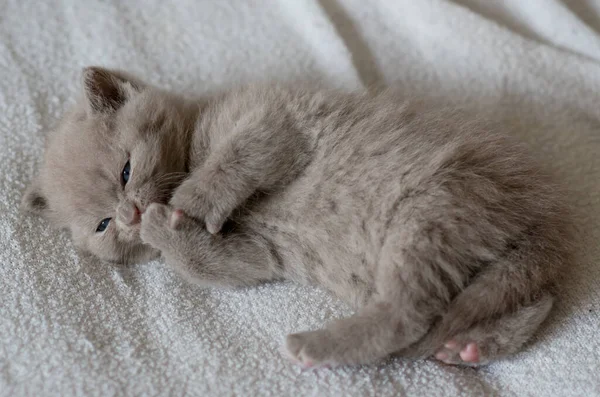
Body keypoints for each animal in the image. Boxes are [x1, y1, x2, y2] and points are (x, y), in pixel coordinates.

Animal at [23, 66, 576, 366]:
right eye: (102, 226)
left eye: (125, 170)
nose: (131, 213)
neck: (195, 135)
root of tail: (543, 211)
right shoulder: (257, 253)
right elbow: (215, 263)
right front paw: (165, 228)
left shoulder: (281, 116)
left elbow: (238, 156)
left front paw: (186, 203)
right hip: (472, 252)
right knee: (518, 303)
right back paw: (472, 346)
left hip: (432, 211)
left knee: (410, 315)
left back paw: (318, 345)